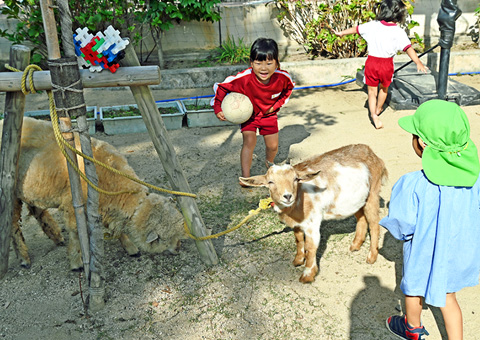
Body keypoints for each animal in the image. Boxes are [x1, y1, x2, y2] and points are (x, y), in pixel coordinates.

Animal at [0, 117, 187, 270]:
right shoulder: (73, 206)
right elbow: (76, 233)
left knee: (36, 209)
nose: (179, 248)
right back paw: (24, 258)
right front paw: (76, 262)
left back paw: (56, 236)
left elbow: (115, 227)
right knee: (14, 225)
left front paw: (131, 248)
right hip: (11, 190)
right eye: (164, 238)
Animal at [238, 145, 388, 282]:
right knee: (361, 217)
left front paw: (307, 275)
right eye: (270, 181)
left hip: (372, 193)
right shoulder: (297, 224)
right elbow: (298, 239)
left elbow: (311, 247)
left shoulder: (312, 223)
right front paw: (298, 260)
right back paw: (355, 245)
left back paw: (371, 257)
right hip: (356, 200)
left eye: (295, 179)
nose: (288, 196)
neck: (300, 197)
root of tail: (373, 155)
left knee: (374, 223)